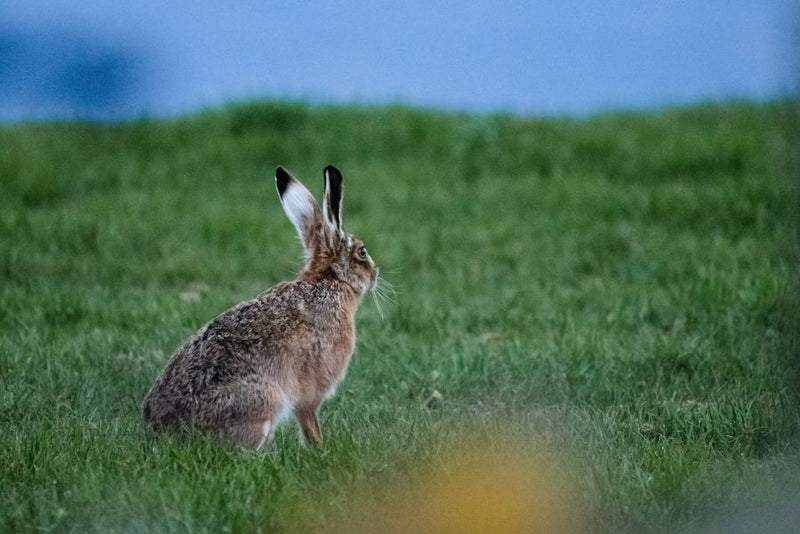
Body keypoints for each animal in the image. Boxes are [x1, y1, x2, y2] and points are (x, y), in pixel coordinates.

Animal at [142, 165, 379, 450]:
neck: (330, 282)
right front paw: (319, 447)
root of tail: (163, 432)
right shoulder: (310, 393)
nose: (376, 274)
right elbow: (309, 420)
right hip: (265, 401)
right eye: (362, 252)